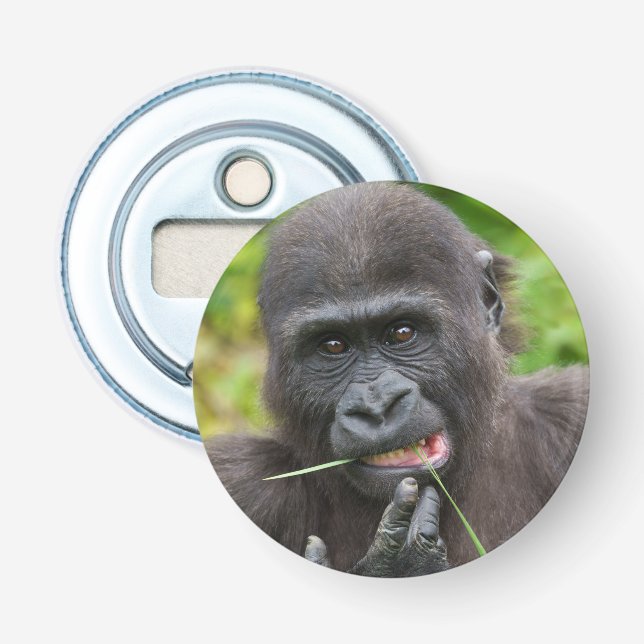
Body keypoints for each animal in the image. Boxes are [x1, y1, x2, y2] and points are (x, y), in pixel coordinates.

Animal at [205, 182, 589, 576]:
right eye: (332, 345)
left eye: (402, 333)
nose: (376, 406)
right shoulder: (241, 477)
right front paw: (396, 565)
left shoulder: (570, 411)